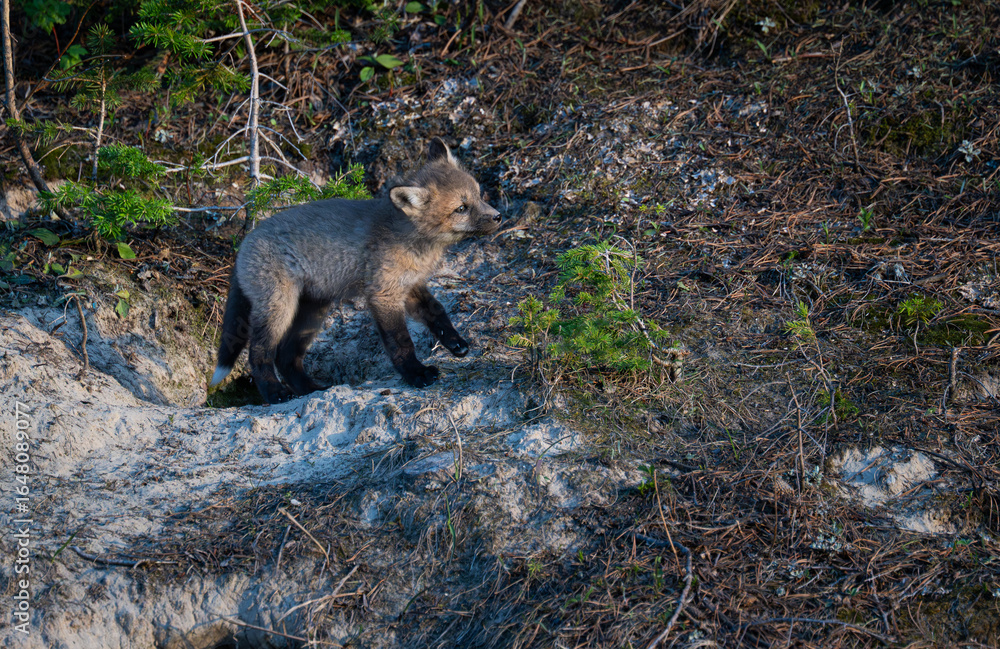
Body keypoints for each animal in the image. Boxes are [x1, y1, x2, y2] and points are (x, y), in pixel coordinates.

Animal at [209, 138, 501, 404]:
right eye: (461, 208)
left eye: (478, 195)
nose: (498, 217)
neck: (412, 239)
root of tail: (244, 243)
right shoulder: (383, 294)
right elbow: (401, 341)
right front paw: (416, 374)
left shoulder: (409, 286)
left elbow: (437, 312)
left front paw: (455, 343)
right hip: (279, 308)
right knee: (259, 353)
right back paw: (275, 393)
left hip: (312, 312)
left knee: (286, 357)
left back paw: (311, 390)